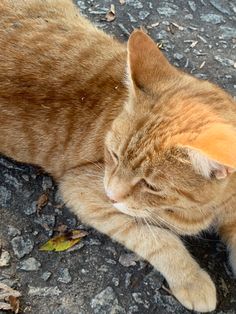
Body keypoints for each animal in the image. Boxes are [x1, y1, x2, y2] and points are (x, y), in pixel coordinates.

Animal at [0, 0, 236, 310]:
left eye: (150, 186)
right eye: (112, 154)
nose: (111, 195)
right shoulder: (82, 190)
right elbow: (158, 239)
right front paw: (191, 279)